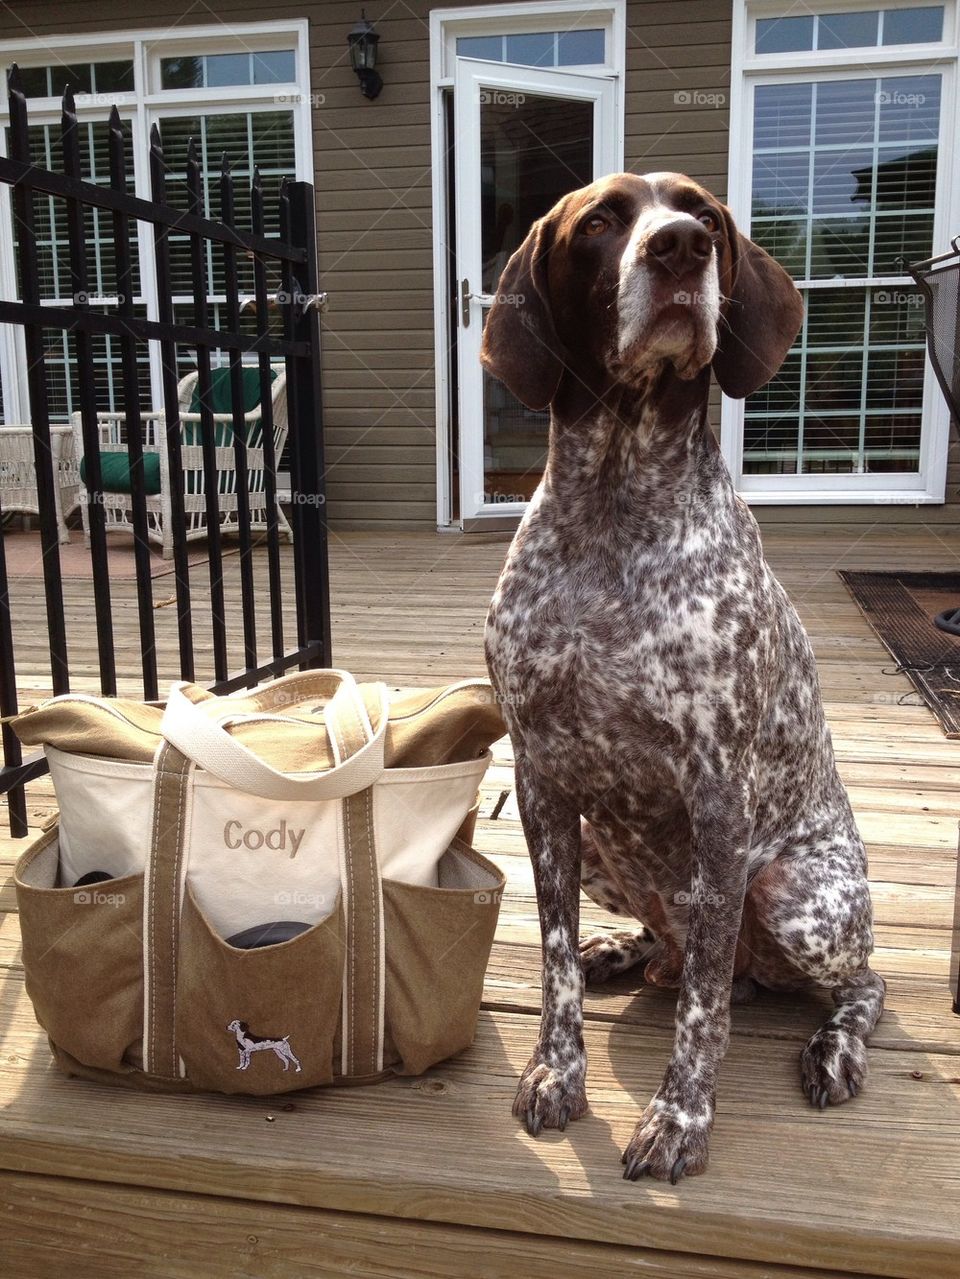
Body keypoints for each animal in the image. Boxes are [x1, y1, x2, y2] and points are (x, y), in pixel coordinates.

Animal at [480, 175, 884, 1181]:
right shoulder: (543, 783)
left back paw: (834, 1047)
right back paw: (625, 952)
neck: (615, 513)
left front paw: (680, 1118)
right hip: (607, 849)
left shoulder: (716, 794)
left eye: (704, 216)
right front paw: (557, 1069)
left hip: (794, 896)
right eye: (599, 223)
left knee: (853, 979)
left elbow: (703, 1006)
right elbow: (551, 961)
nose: (678, 249)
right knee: (675, 949)